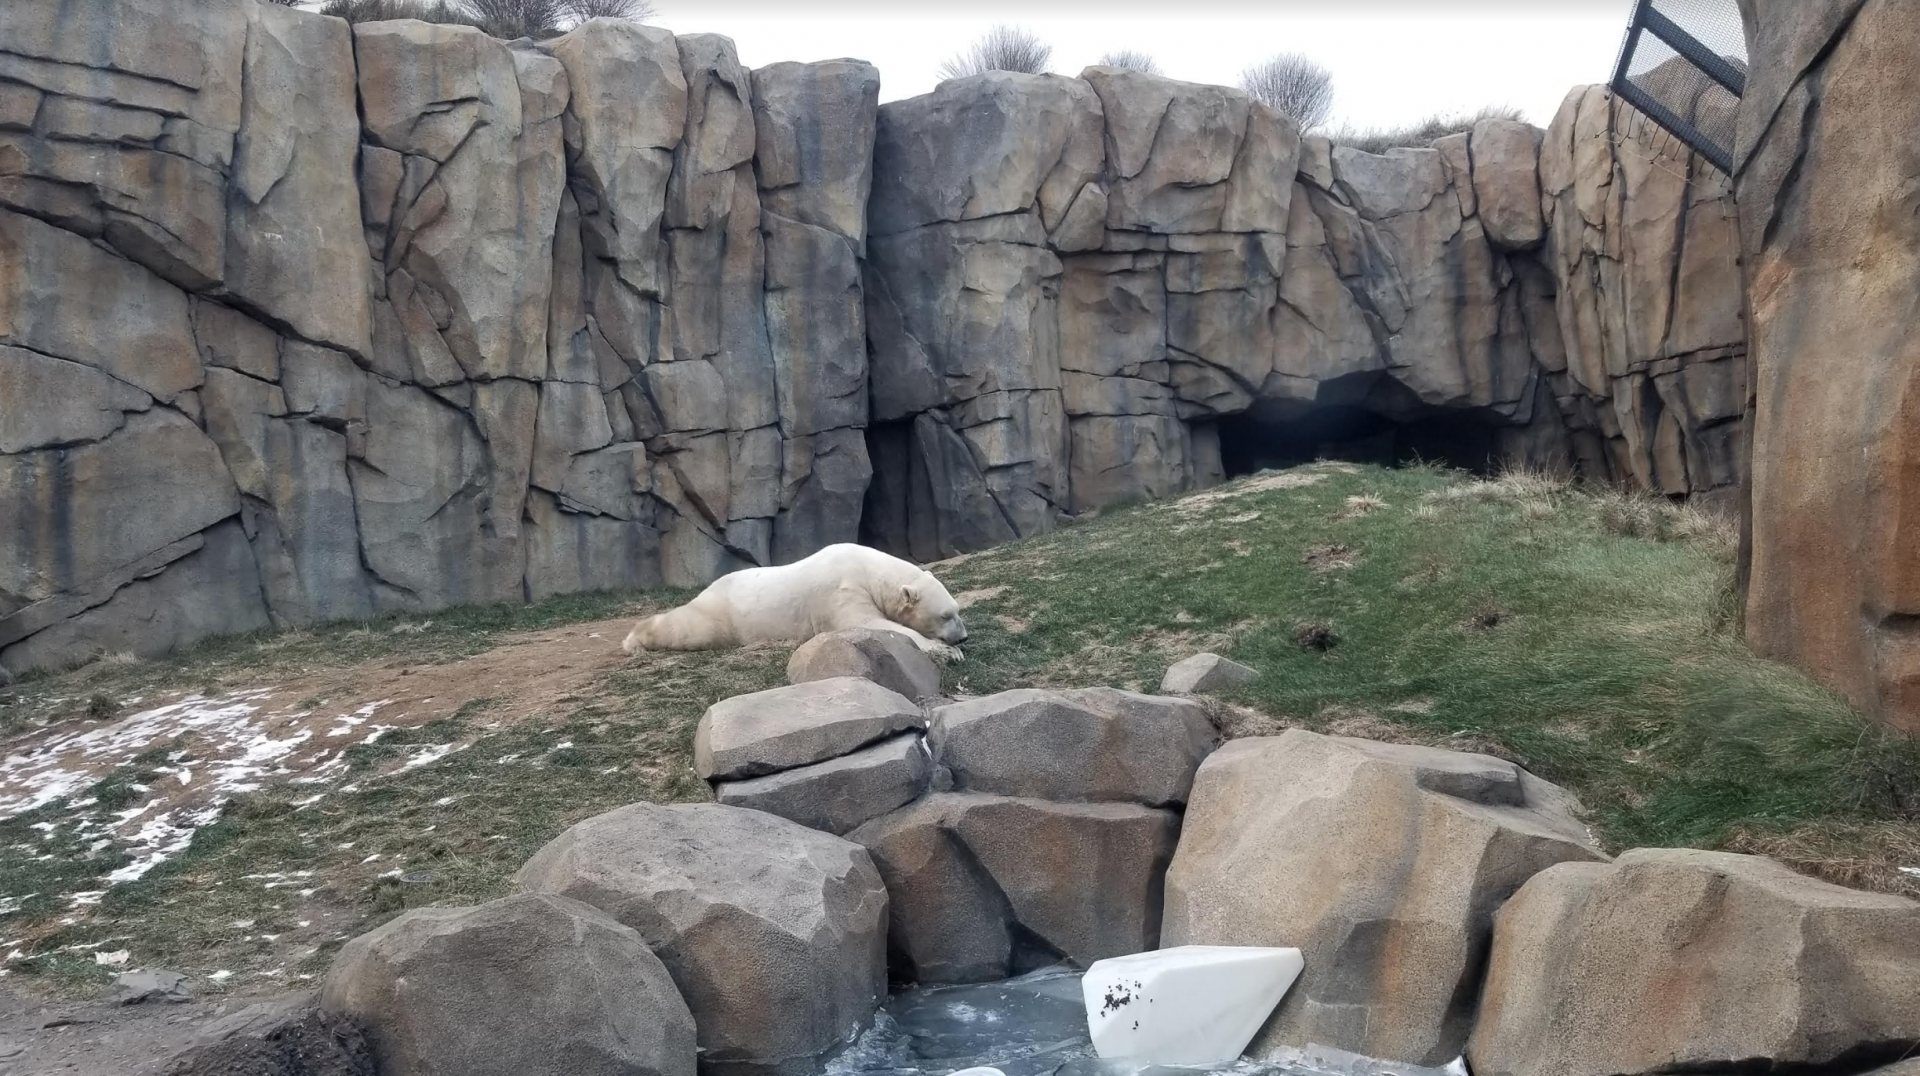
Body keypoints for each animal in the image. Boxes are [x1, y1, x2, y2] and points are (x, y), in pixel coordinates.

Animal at [621, 543, 970, 661]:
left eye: (957, 611)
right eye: (945, 615)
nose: (963, 637)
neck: (868, 569)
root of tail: (708, 589)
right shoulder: (842, 590)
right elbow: (866, 623)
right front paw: (947, 652)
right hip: (724, 614)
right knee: (689, 629)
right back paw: (633, 641)